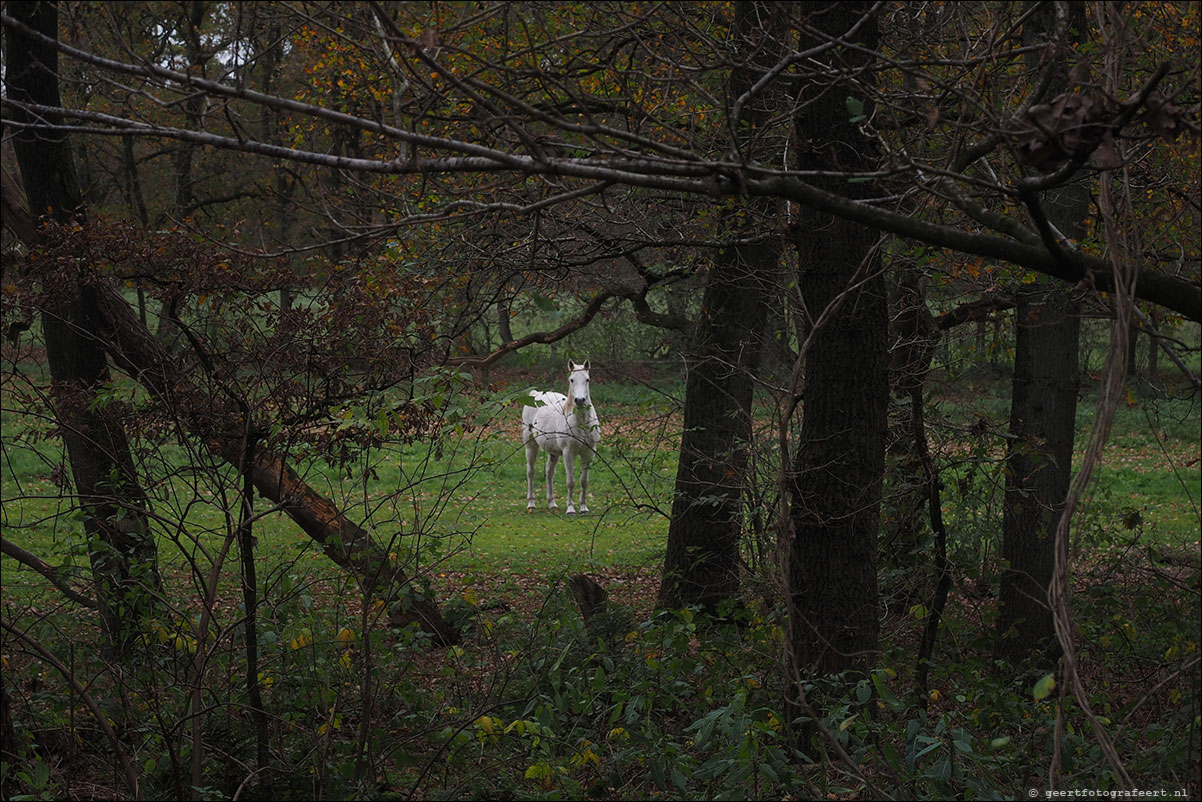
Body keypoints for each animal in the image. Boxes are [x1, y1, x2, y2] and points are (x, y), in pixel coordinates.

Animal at [524, 363, 601, 514]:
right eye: (571, 379)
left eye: (587, 379)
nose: (579, 400)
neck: (581, 422)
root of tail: (535, 394)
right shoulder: (568, 453)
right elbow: (570, 481)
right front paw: (570, 509)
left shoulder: (589, 453)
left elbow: (584, 481)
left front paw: (583, 507)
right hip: (530, 445)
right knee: (531, 472)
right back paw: (531, 504)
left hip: (553, 452)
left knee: (549, 473)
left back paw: (552, 503)